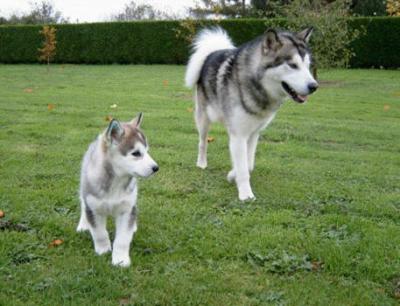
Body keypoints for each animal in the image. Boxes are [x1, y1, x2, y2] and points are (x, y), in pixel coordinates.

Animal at [77, 113, 159, 266]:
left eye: (147, 151)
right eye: (136, 153)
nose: (156, 168)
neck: (116, 182)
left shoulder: (126, 210)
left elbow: (123, 239)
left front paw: (120, 260)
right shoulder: (94, 208)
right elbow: (99, 233)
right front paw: (103, 250)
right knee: (82, 205)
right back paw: (83, 224)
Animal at [186, 26, 320, 201]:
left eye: (307, 65)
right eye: (292, 65)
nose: (314, 86)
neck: (256, 85)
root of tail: (212, 53)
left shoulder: (253, 133)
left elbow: (248, 164)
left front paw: (232, 175)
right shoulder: (239, 135)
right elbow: (243, 167)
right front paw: (245, 194)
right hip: (203, 119)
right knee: (202, 142)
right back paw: (201, 163)